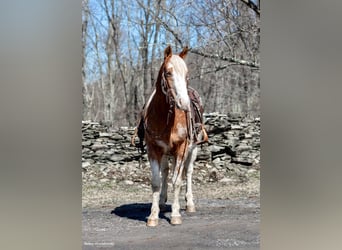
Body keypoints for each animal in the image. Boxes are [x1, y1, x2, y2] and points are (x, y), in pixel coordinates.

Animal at [143, 45, 198, 227]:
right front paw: (153, 216)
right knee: (166, 171)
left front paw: (175, 215)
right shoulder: (153, 149)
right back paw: (161, 201)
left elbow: (177, 181)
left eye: (187, 74)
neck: (164, 116)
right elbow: (156, 181)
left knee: (188, 172)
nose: (185, 104)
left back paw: (190, 204)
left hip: (192, 150)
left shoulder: (181, 149)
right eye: (168, 73)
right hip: (166, 153)